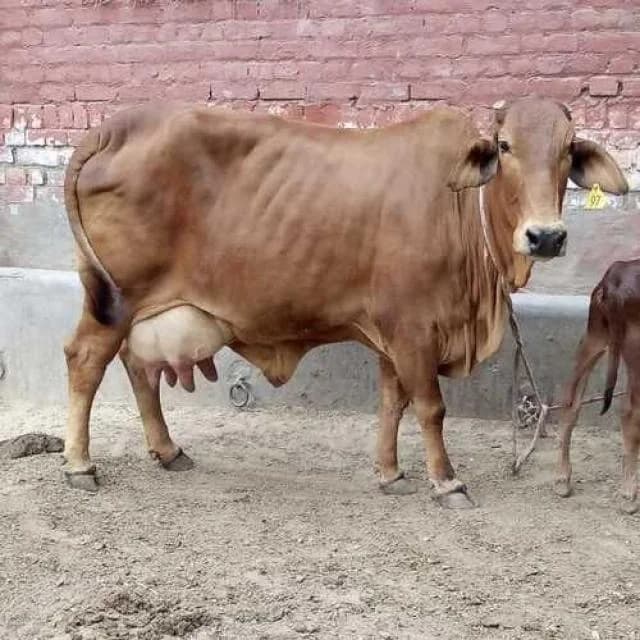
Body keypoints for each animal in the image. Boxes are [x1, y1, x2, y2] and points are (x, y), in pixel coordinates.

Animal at [62, 97, 628, 507]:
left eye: (568, 148)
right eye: (506, 146)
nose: (546, 236)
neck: (461, 211)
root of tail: (114, 128)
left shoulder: (391, 336)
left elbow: (392, 405)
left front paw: (390, 473)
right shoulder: (413, 330)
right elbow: (430, 408)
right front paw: (447, 482)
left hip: (135, 308)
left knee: (139, 367)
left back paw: (167, 449)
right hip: (114, 302)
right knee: (86, 361)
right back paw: (79, 464)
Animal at [555, 259, 640, 514]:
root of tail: (614, 276)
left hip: (596, 336)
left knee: (570, 399)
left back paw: (562, 480)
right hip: (634, 348)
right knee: (629, 413)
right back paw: (629, 495)